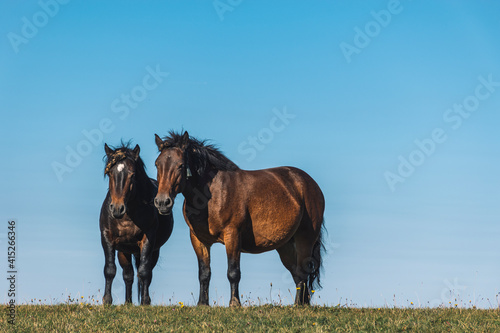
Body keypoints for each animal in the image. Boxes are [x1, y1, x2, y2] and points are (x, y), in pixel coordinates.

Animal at [99, 142, 174, 304]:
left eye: (132, 174)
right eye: (110, 173)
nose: (117, 208)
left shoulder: (147, 240)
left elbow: (144, 272)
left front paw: (145, 301)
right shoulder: (107, 238)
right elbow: (110, 269)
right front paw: (107, 300)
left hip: (153, 251)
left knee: (144, 273)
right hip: (124, 251)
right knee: (128, 275)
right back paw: (128, 302)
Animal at [153, 130, 324, 306]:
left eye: (181, 165)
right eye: (157, 164)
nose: (162, 202)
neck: (211, 195)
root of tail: (308, 183)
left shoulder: (232, 235)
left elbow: (233, 272)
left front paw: (234, 303)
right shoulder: (198, 239)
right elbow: (204, 273)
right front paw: (202, 303)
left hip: (305, 239)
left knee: (302, 272)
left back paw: (298, 305)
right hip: (286, 245)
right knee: (297, 274)